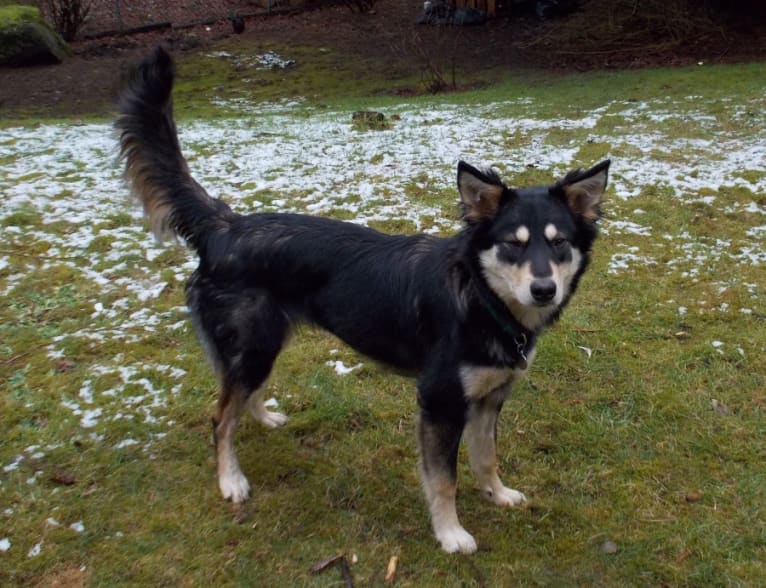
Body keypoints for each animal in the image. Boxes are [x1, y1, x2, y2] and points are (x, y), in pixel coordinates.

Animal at [115, 47, 612, 556]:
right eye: (514, 244)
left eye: (559, 243)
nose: (544, 289)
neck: (479, 298)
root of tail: (224, 226)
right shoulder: (439, 401)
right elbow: (444, 480)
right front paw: (451, 534)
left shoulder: (490, 396)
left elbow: (486, 457)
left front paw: (498, 494)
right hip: (253, 345)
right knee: (220, 417)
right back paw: (230, 479)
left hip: (265, 343)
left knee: (241, 397)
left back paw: (265, 417)